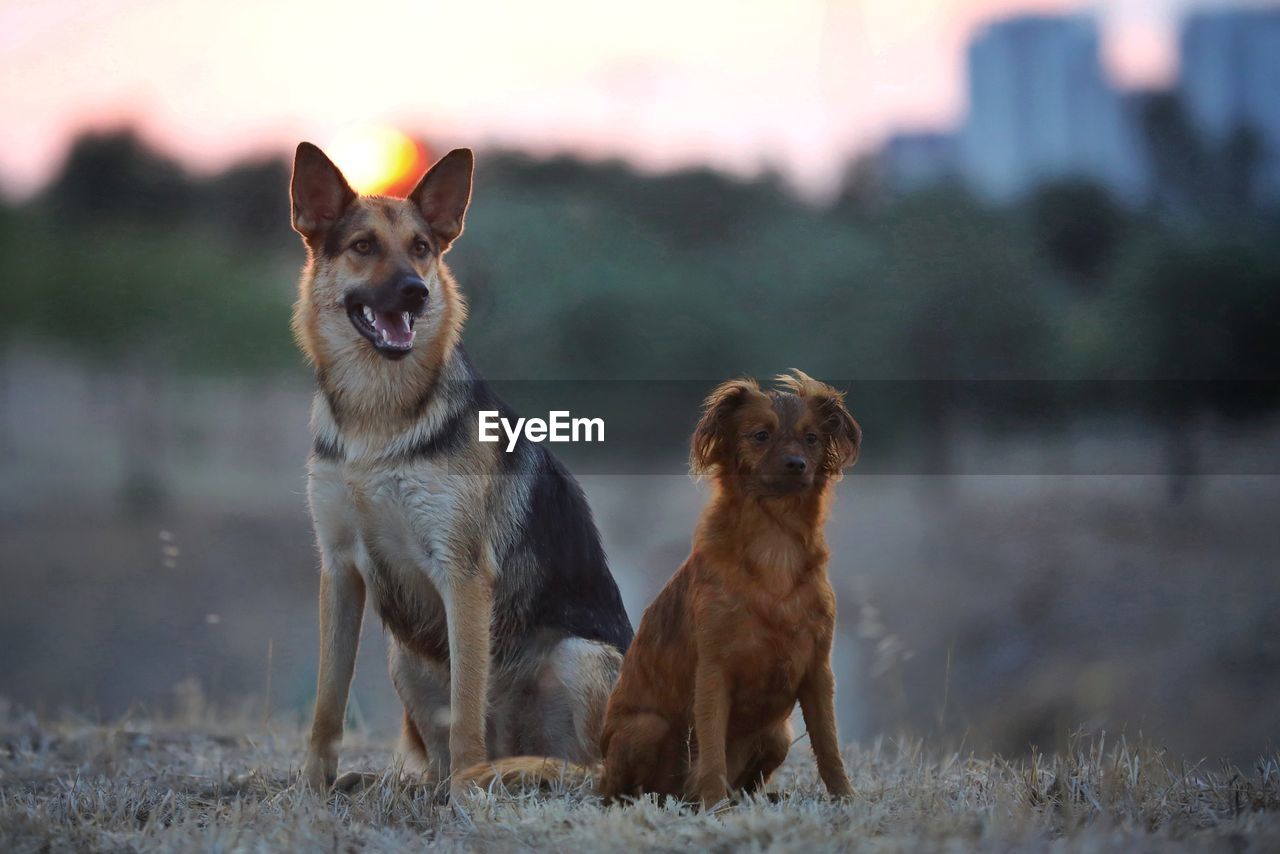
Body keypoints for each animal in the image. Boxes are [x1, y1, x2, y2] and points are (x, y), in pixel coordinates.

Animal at [288, 143, 632, 798]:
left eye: (422, 247)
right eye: (363, 246)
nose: (416, 292)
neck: (379, 419)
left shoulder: (464, 575)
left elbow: (467, 699)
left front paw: (470, 789)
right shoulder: (339, 570)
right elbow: (326, 700)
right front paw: (313, 784)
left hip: (579, 655)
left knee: (594, 769)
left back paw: (501, 773)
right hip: (404, 659)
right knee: (442, 751)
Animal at [468, 371, 860, 804]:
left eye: (812, 438)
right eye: (760, 435)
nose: (796, 464)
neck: (776, 548)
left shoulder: (818, 671)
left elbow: (829, 745)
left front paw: (846, 799)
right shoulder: (713, 671)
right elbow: (712, 750)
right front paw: (715, 807)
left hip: (778, 733)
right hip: (645, 729)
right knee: (632, 788)